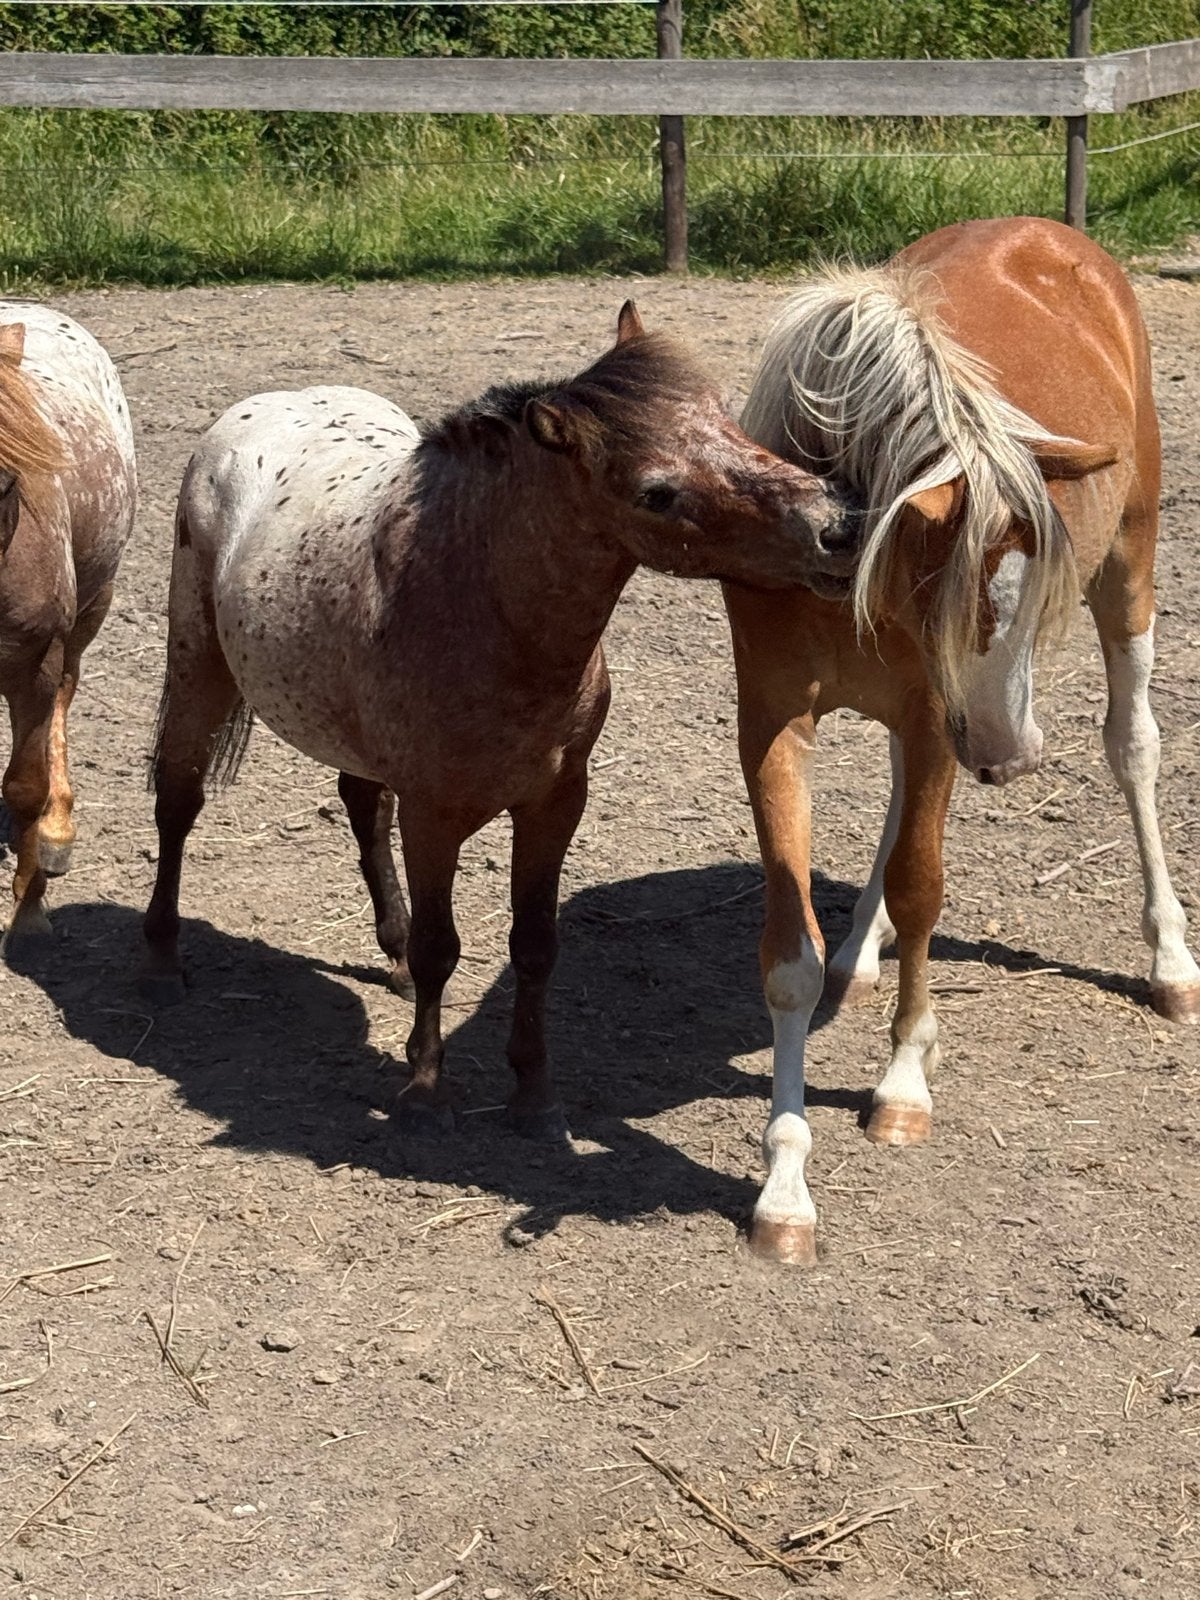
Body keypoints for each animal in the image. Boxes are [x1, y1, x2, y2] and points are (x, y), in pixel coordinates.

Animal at [143, 302, 859, 1138]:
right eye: (656, 492)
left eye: (728, 420)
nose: (835, 526)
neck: (472, 597)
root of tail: (264, 407)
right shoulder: (432, 814)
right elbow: (439, 947)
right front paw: (424, 1090)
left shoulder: (554, 802)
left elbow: (535, 944)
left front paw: (534, 1093)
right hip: (197, 665)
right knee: (178, 799)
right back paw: (161, 960)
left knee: (360, 808)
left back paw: (384, 954)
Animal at [725, 215, 1200, 1265]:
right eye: (960, 598)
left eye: (1029, 594)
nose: (1010, 754)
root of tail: (1053, 235)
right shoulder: (774, 725)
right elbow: (789, 954)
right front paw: (785, 1190)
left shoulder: (929, 709)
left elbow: (922, 885)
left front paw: (905, 1079)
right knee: (904, 798)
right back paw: (861, 952)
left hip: (1129, 566)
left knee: (1133, 745)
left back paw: (1172, 964)